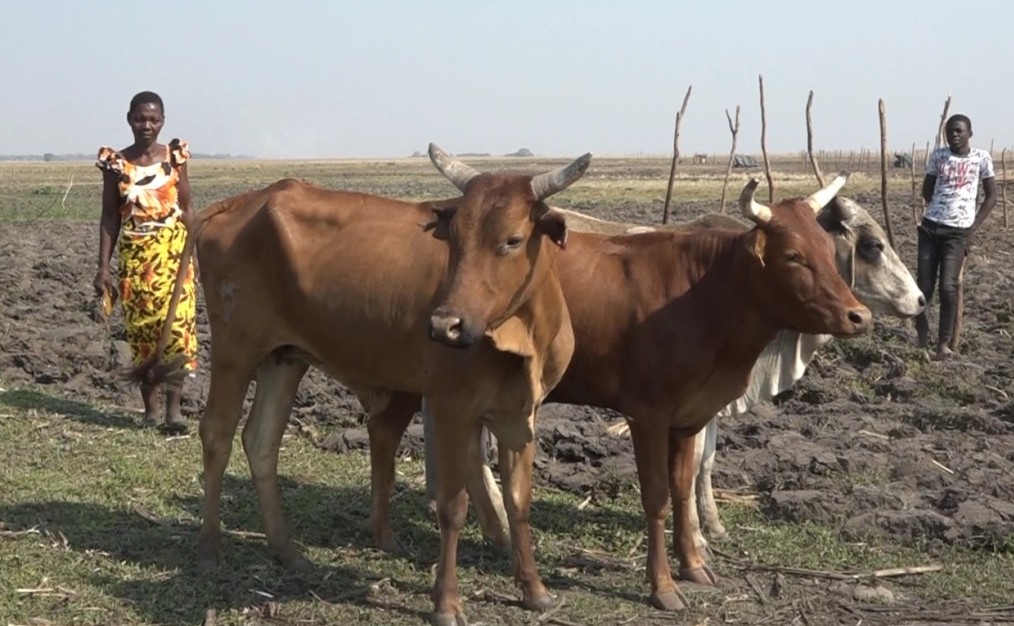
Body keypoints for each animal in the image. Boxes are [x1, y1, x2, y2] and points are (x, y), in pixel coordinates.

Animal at [138, 144, 592, 624]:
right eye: (455, 237)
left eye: (512, 240)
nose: (445, 325)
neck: (520, 334)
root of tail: (243, 201)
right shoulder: (451, 407)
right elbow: (453, 507)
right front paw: (446, 602)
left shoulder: (520, 414)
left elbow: (519, 502)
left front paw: (534, 588)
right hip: (234, 351)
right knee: (217, 436)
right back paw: (210, 548)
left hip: (284, 358)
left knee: (261, 441)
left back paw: (288, 551)